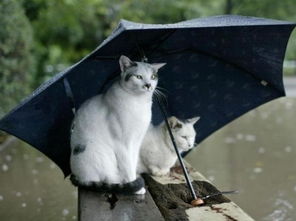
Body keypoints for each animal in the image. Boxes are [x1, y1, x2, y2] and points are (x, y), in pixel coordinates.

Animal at [70, 55, 165, 193]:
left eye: (153, 77)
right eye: (138, 77)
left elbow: (133, 162)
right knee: (107, 179)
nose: (148, 85)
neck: (139, 103)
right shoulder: (122, 144)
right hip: (100, 151)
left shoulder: (136, 142)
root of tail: (78, 177)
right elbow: (128, 167)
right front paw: (136, 187)